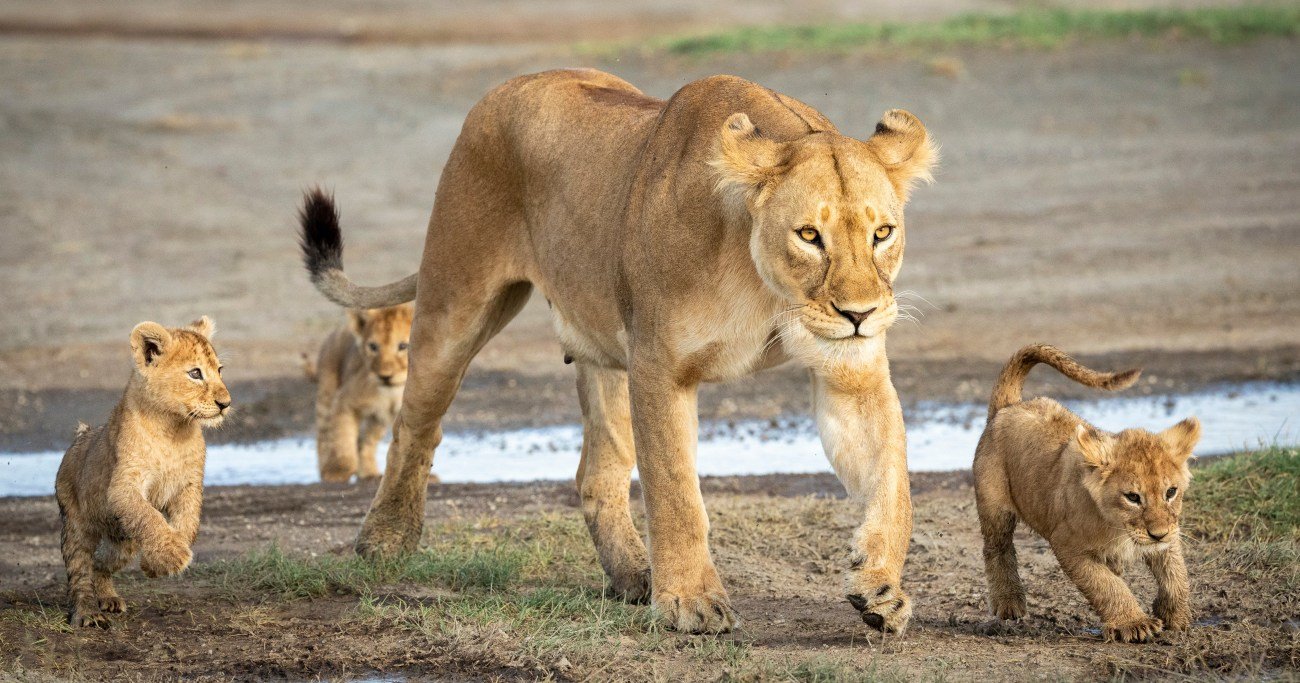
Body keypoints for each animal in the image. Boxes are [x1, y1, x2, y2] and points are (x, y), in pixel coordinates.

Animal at [297, 69, 935, 634]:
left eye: (882, 233)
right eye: (808, 236)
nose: (859, 314)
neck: (766, 286)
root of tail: (505, 87)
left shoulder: (850, 370)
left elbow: (893, 480)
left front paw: (880, 588)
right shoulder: (660, 365)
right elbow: (675, 492)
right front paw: (690, 603)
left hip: (605, 353)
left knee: (596, 473)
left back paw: (634, 575)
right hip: (454, 303)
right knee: (415, 423)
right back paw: (385, 540)